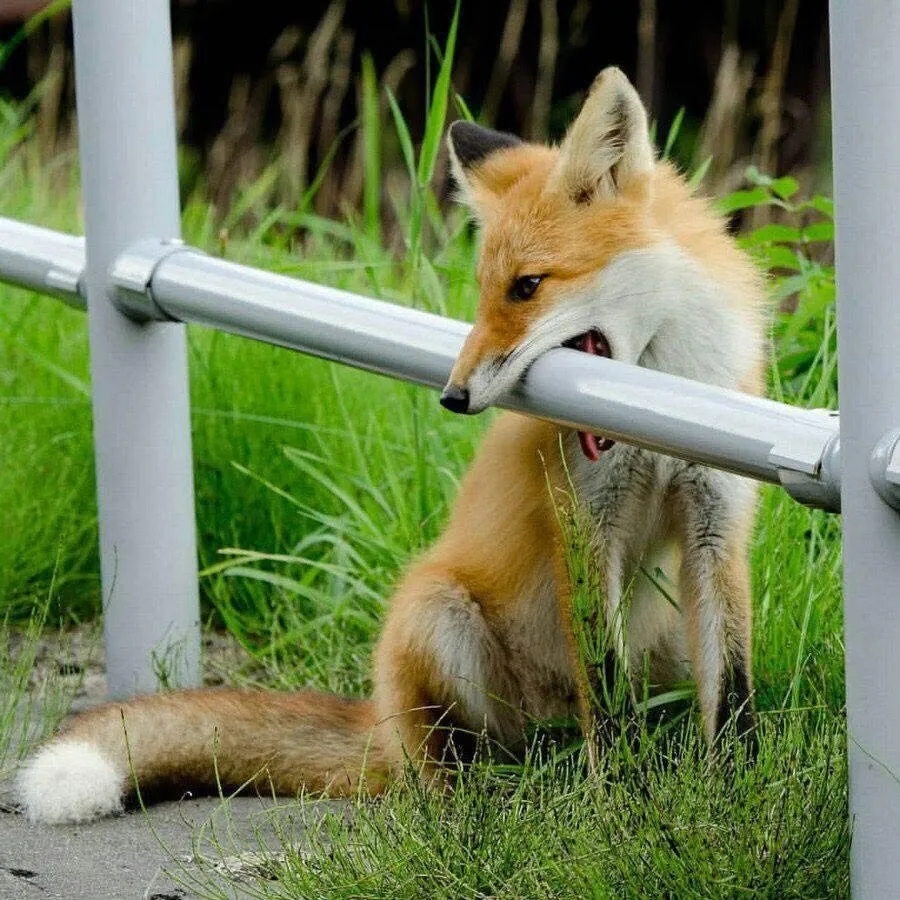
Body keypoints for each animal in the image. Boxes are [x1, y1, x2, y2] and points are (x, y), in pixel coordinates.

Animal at [18, 67, 764, 825]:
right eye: (483, 292)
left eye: (527, 287)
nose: (454, 396)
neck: (661, 402)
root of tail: (378, 723)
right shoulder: (586, 524)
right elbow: (604, 695)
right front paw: (618, 801)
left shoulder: (717, 523)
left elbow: (733, 693)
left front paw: (735, 801)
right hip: (437, 616)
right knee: (442, 766)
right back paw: (476, 802)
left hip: (662, 640)